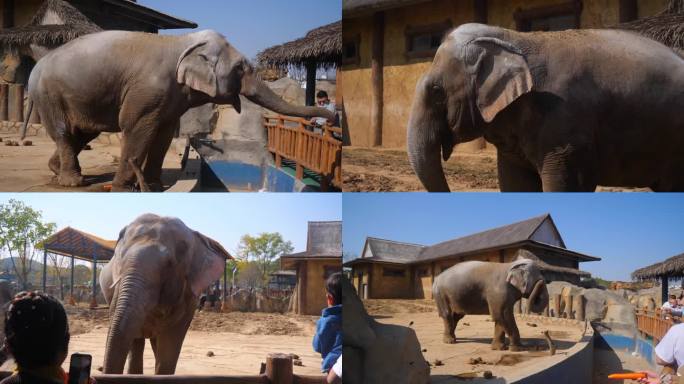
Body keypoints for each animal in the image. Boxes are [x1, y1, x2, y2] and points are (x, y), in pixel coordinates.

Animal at [24, 29, 336, 191]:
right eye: (240, 68)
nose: (332, 116)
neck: (185, 42)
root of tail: (36, 66)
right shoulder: (148, 90)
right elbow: (135, 127)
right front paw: (124, 189)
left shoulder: (170, 96)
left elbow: (162, 134)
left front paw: (155, 185)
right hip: (49, 95)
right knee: (65, 132)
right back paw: (72, 182)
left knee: (82, 133)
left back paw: (57, 171)